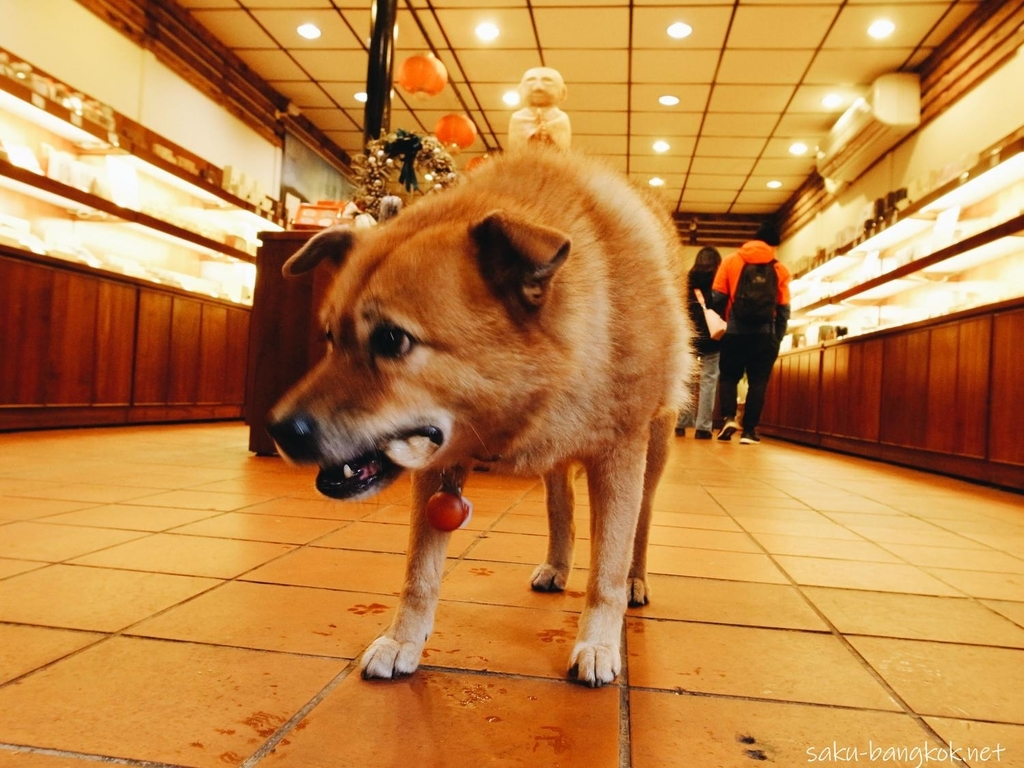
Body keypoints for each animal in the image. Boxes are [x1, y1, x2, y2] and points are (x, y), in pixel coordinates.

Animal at [268, 147, 692, 688]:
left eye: (391, 339)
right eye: (329, 337)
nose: (279, 430)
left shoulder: (620, 453)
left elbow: (607, 571)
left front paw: (599, 642)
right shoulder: (434, 471)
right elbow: (420, 572)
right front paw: (403, 641)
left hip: (653, 450)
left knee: (641, 522)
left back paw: (636, 579)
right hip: (559, 461)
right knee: (561, 505)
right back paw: (557, 565)